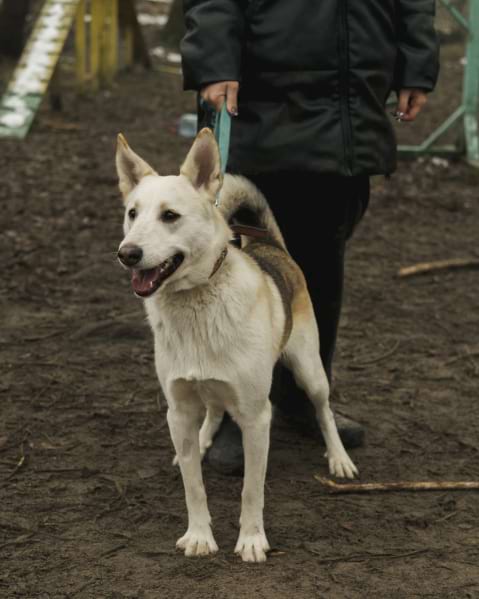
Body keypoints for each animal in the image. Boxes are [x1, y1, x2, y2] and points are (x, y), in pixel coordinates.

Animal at [115, 128, 358, 563]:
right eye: (132, 213)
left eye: (169, 216)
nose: (127, 254)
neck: (197, 302)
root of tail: (272, 246)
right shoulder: (179, 409)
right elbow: (194, 486)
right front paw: (198, 535)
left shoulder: (258, 417)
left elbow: (251, 489)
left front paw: (251, 541)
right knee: (212, 414)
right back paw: (198, 443)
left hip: (310, 370)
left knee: (323, 410)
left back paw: (339, 458)